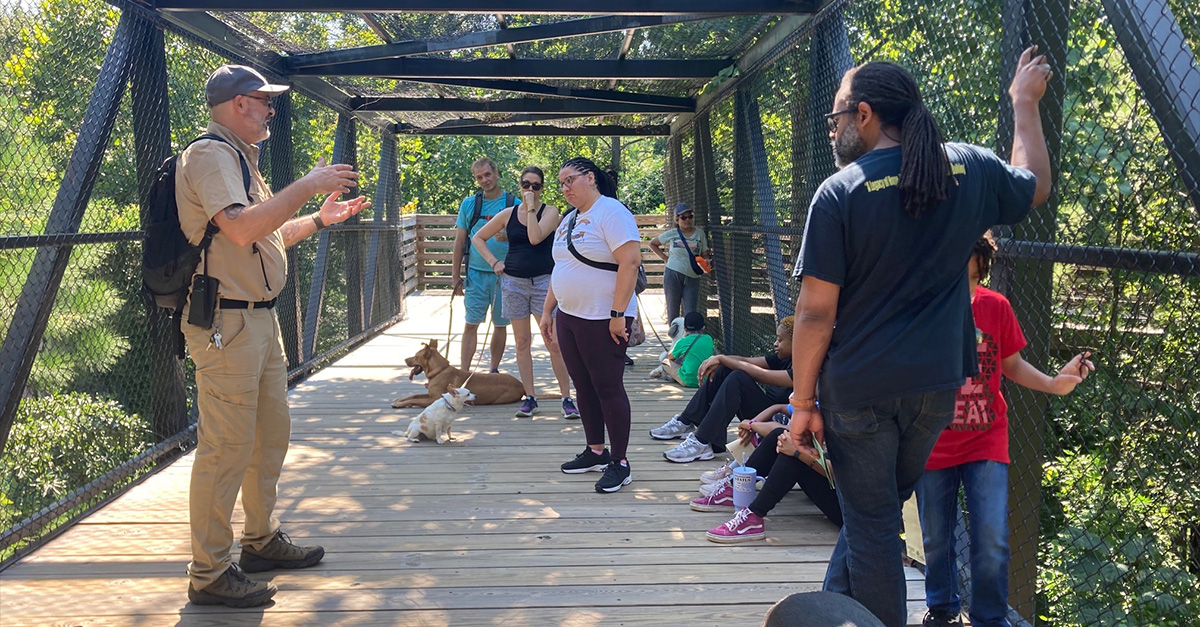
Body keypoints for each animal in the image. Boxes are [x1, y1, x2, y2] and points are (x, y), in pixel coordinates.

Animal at [393, 338, 525, 408]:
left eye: (415, 356)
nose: (405, 360)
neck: (440, 371)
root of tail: (521, 384)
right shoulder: (429, 395)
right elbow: (414, 395)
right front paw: (399, 400)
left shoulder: (432, 399)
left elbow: (415, 400)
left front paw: (399, 404)